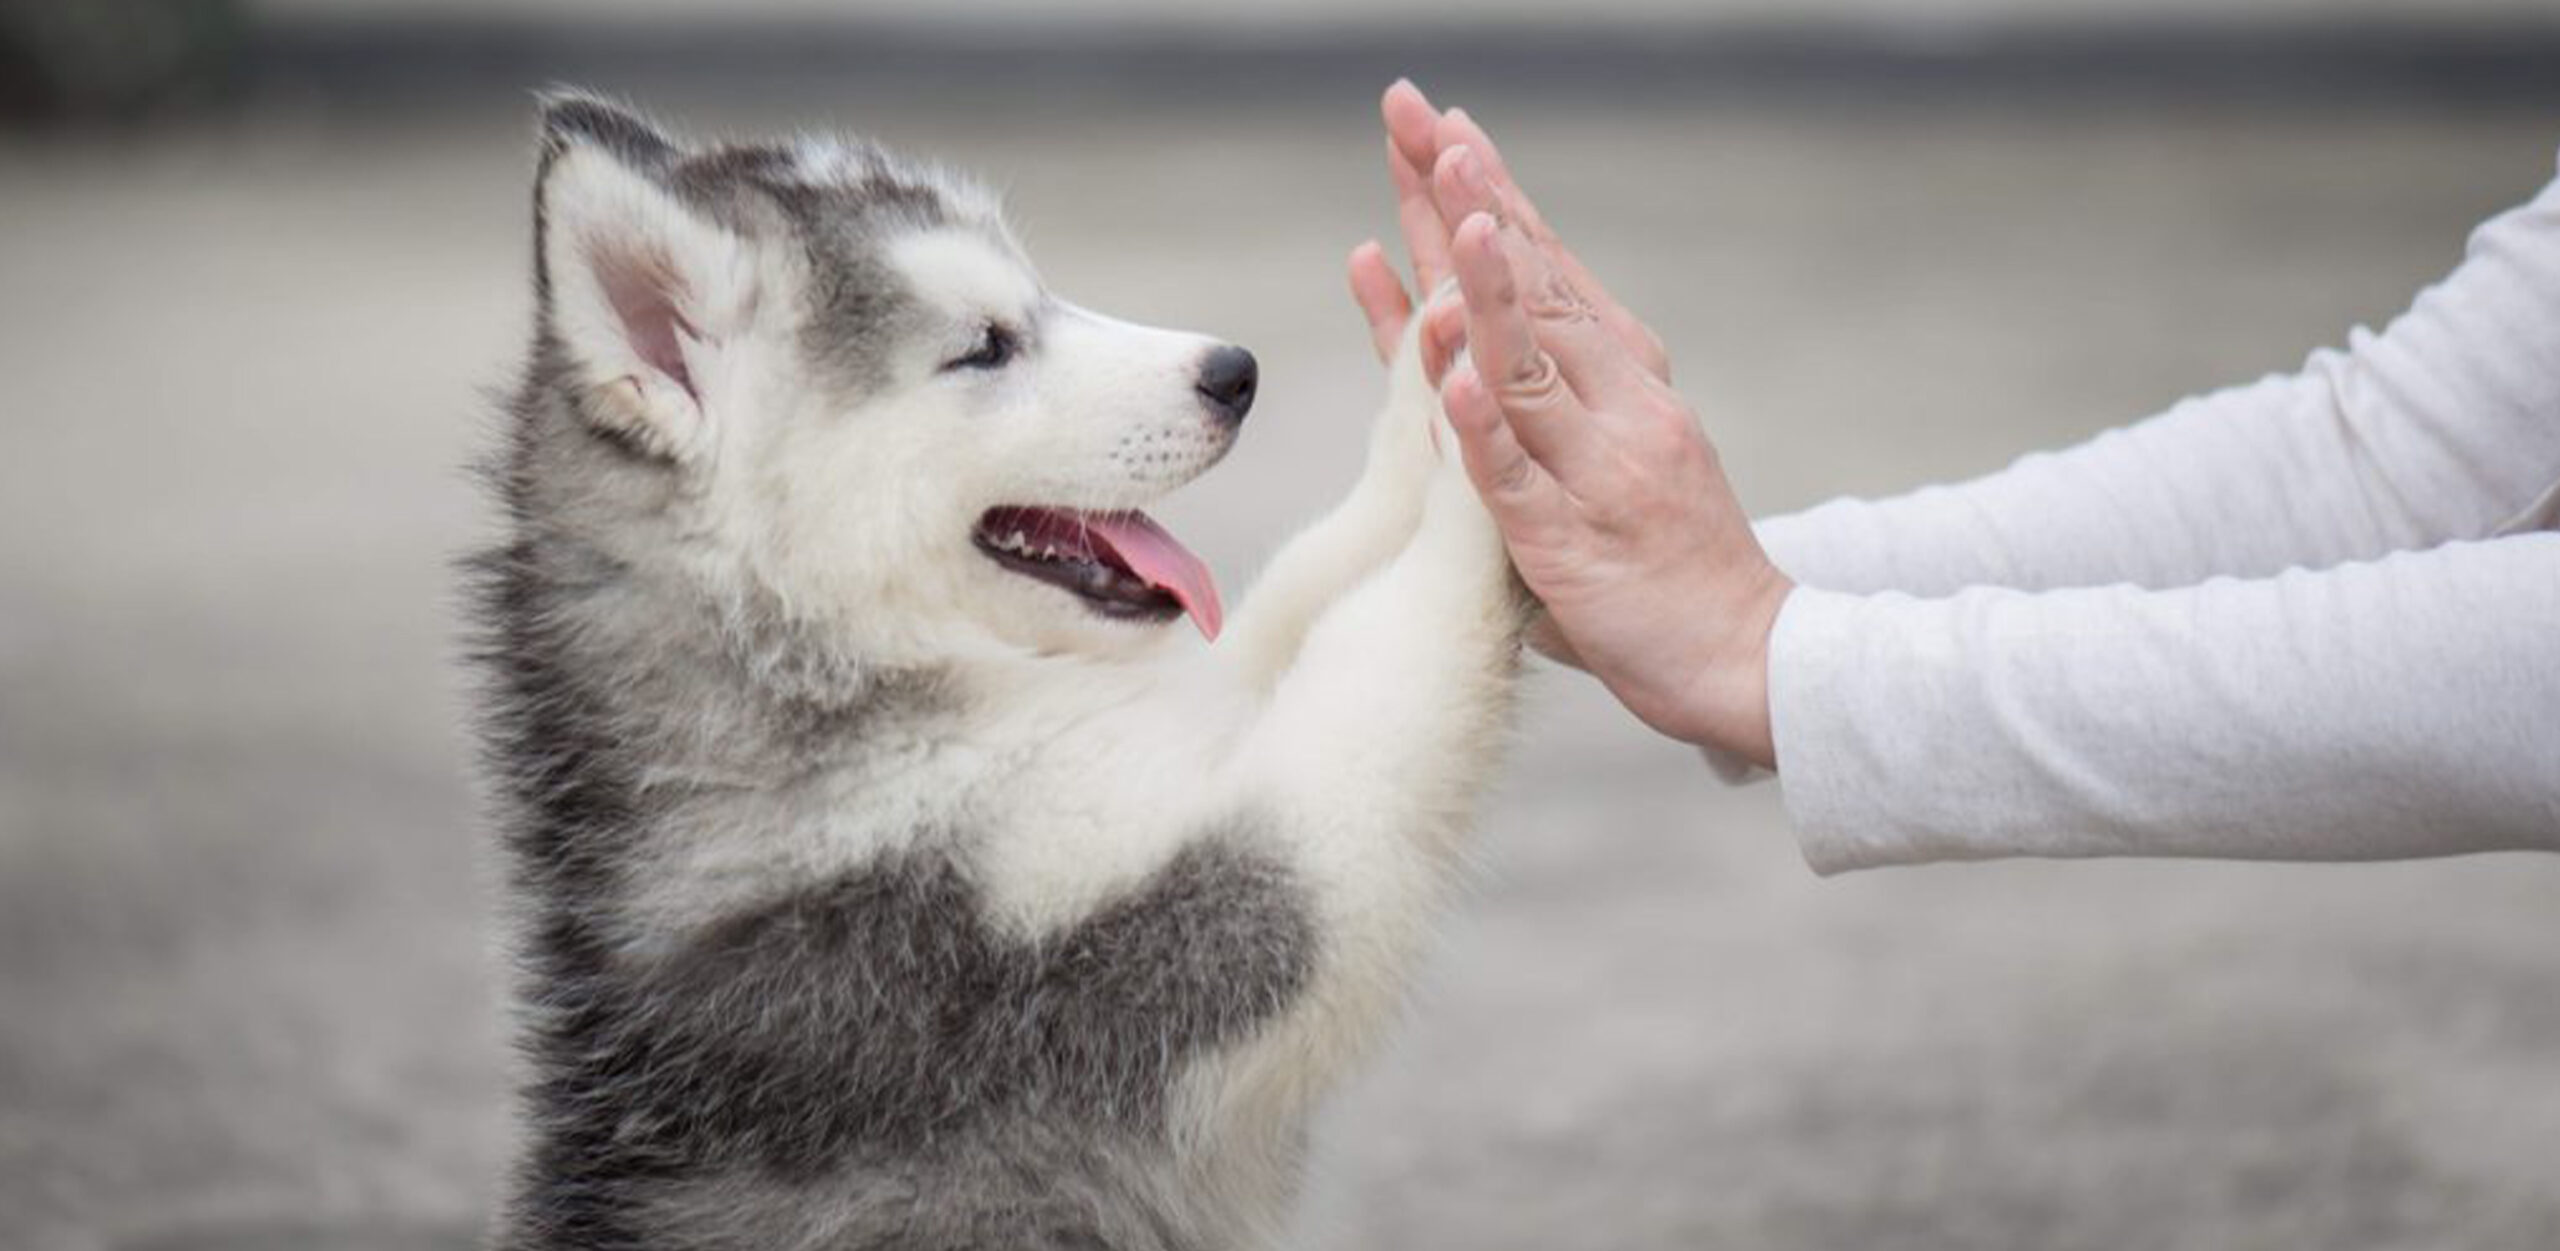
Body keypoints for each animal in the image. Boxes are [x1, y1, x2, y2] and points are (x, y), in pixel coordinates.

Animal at [468, 90, 1515, 1248]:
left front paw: (1433, 377)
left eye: (1038, 295)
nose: (1234, 373)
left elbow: (1301, 587)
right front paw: (1491, 452)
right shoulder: (1124, 941)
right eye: (984, 348)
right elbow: (1378, 657)